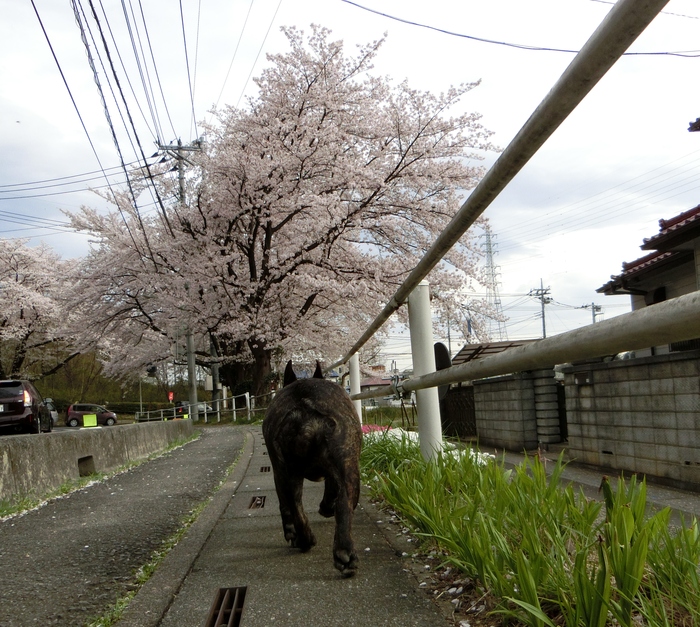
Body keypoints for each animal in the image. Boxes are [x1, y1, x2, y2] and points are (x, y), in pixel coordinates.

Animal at [262, 360, 360, 576]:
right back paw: (344, 553)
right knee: (344, 504)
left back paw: (304, 540)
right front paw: (326, 507)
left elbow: (286, 507)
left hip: (286, 472)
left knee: (293, 505)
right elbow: (331, 491)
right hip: (347, 465)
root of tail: (305, 409)